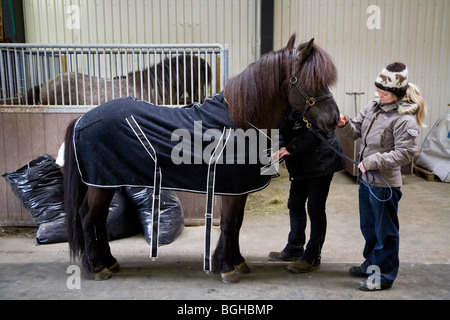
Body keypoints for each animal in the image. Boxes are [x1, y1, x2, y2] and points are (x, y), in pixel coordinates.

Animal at [62, 34, 338, 282]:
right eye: (312, 81)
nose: (335, 119)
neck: (239, 122)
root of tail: (83, 119)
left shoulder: (239, 190)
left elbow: (237, 224)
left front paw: (236, 262)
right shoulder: (231, 190)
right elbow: (229, 224)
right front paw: (226, 268)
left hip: (107, 182)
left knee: (99, 220)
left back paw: (109, 262)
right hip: (100, 183)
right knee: (88, 216)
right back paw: (98, 267)